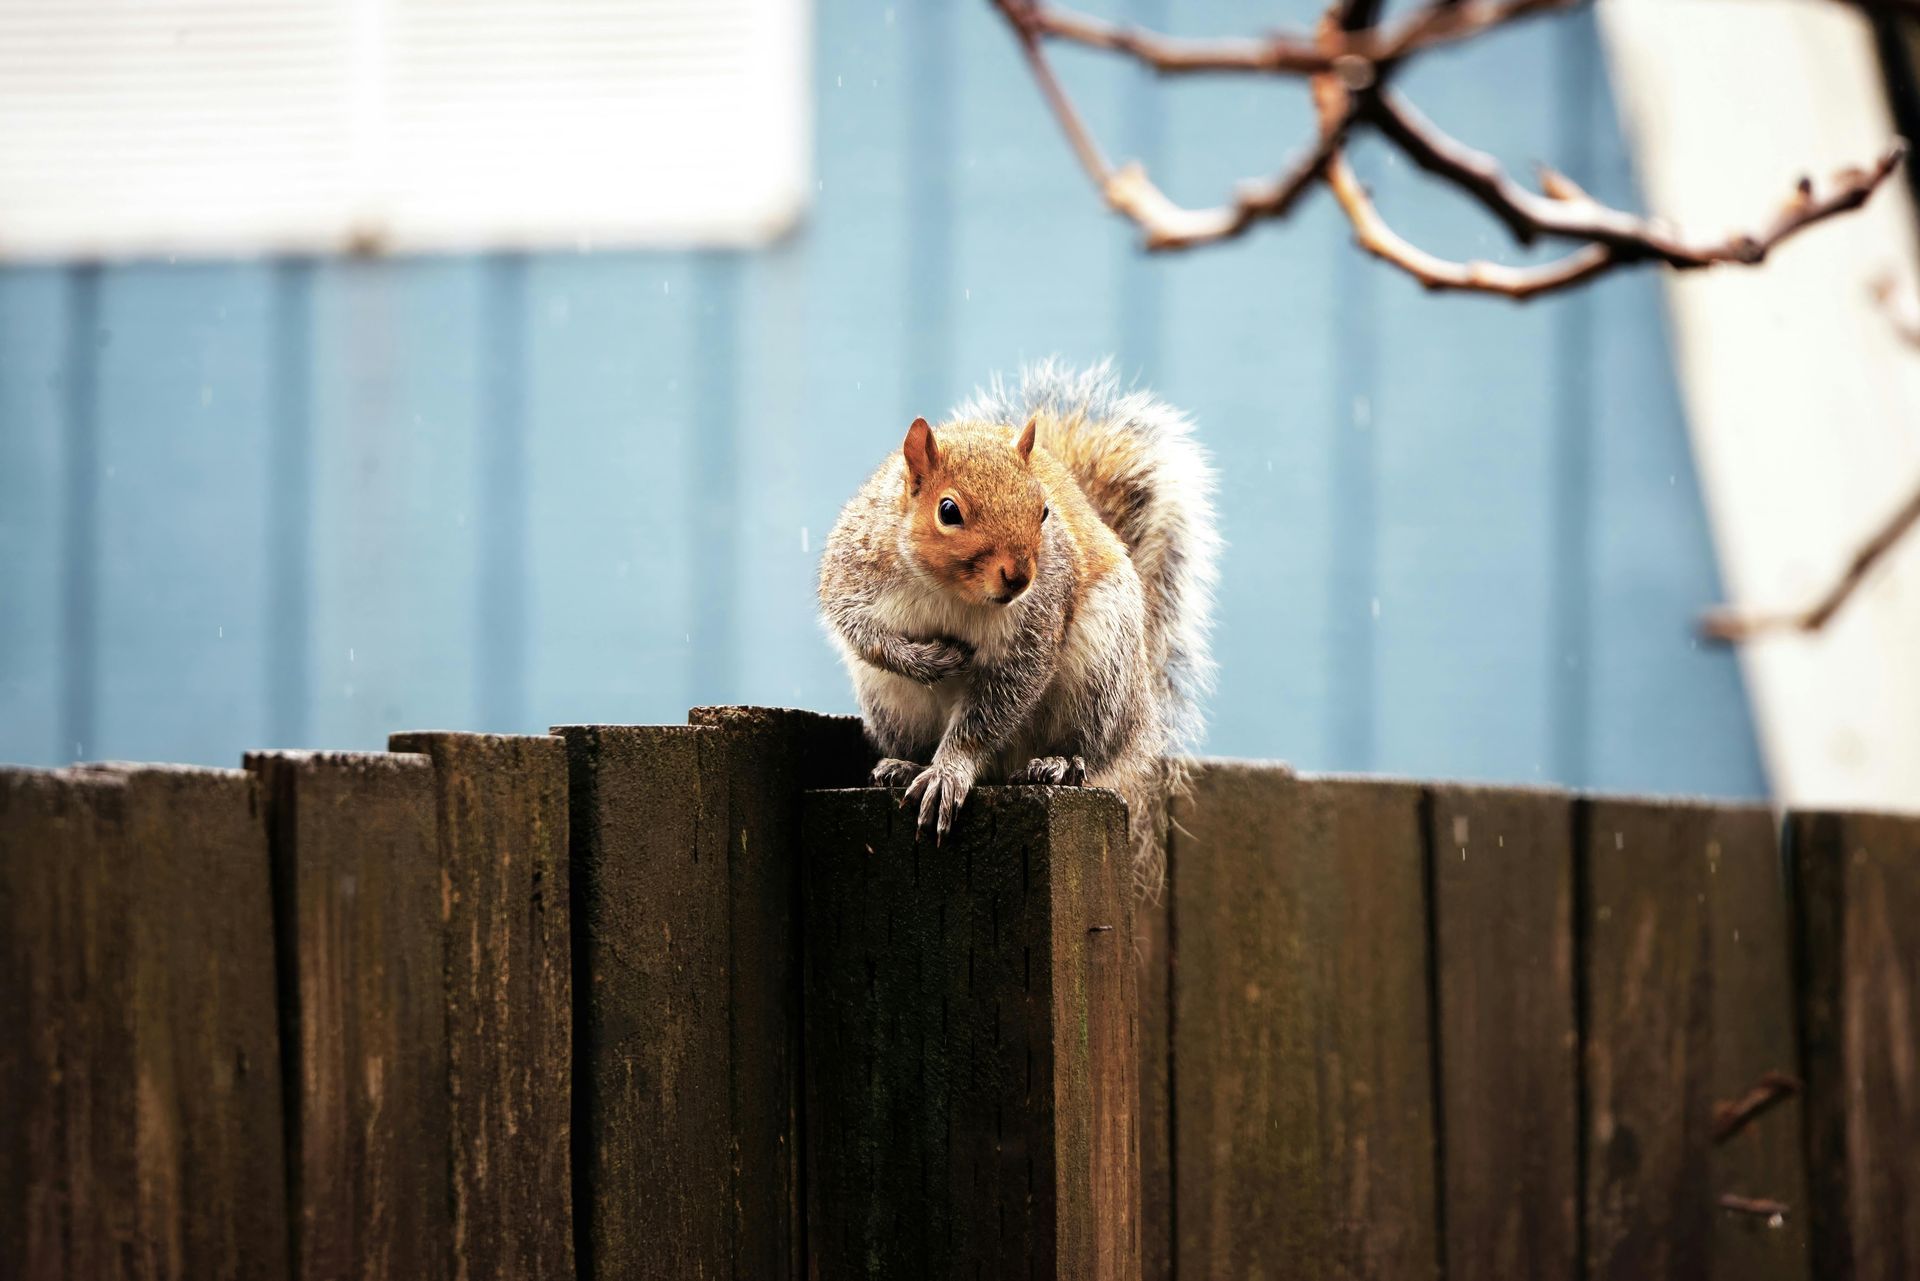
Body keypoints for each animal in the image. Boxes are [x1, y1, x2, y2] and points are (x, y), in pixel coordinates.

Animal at [818, 360, 1219, 889]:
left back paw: (1058, 763)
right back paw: (904, 765)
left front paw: (951, 771)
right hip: (890, 703)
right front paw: (928, 660)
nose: (1021, 576)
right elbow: (861, 633)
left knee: (1089, 749)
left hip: (1100, 673)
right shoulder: (852, 571)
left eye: (1044, 511)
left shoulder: (1034, 623)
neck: (950, 591)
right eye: (948, 510)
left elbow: (999, 700)